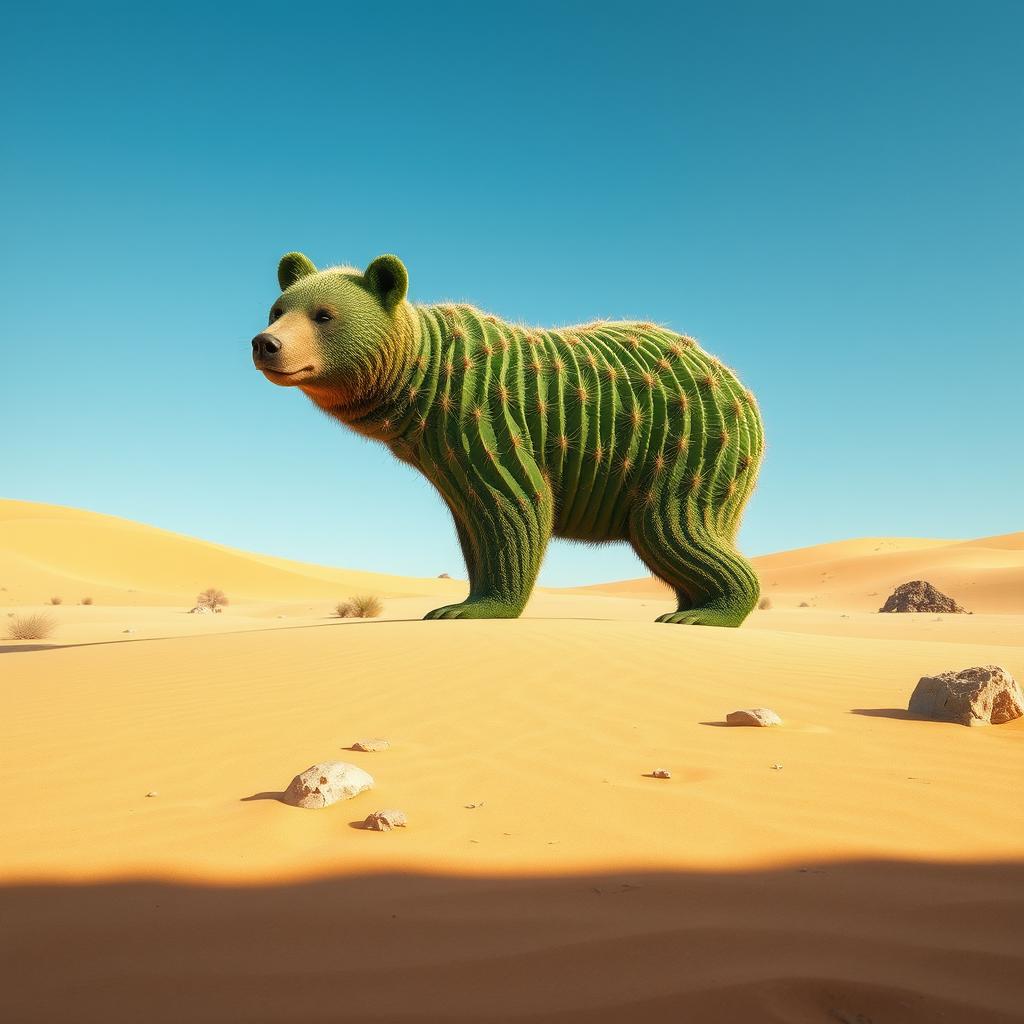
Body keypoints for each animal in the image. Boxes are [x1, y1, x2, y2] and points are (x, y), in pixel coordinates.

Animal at [252, 252, 764, 625]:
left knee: (674, 529)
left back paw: (706, 614)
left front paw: (483, 607)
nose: (265, 343)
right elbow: (476, 534)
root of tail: (740, 387)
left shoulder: (489, 431)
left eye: (323, 315)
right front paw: (464, 600)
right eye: (278, 309)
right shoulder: (450, 465)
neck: (426, 382)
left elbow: (518, 508)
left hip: (688, 458)